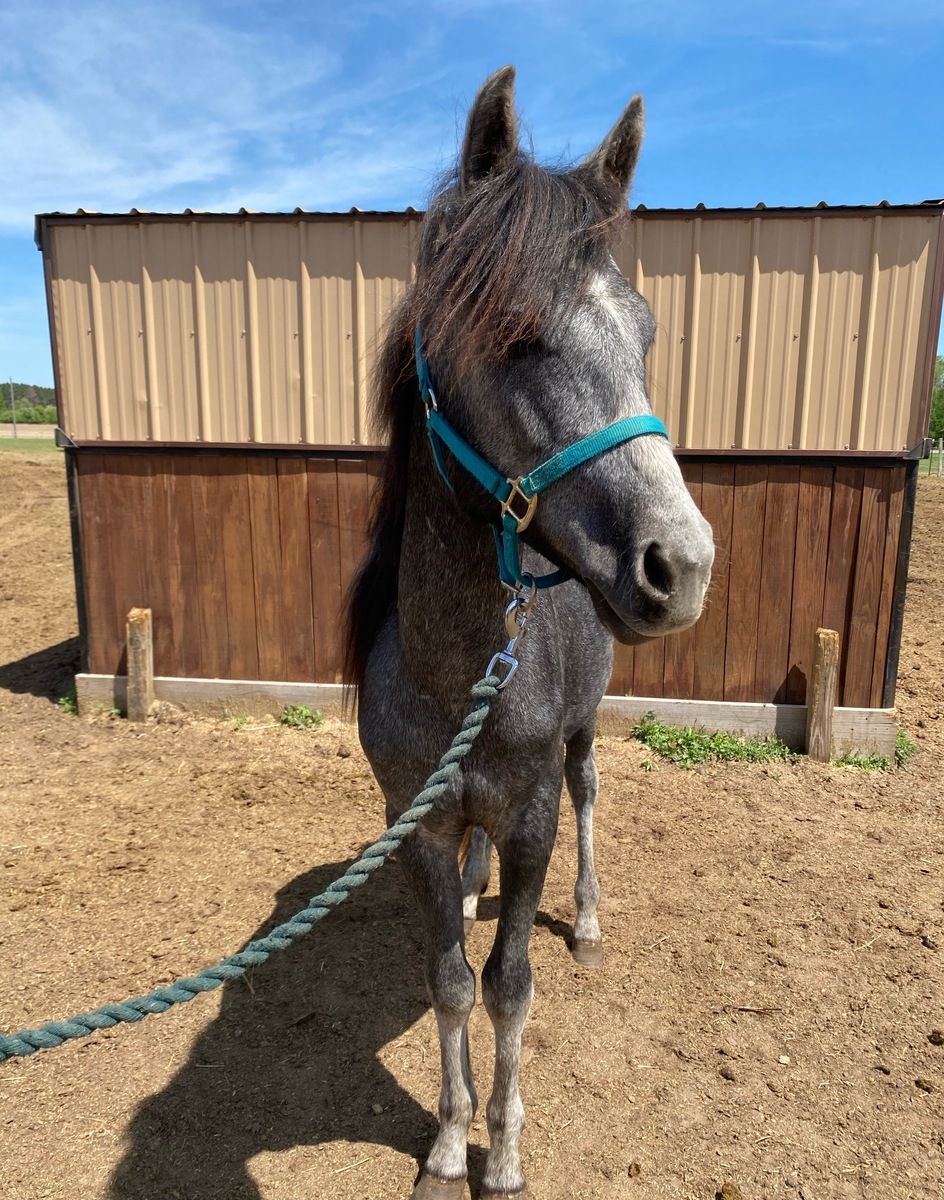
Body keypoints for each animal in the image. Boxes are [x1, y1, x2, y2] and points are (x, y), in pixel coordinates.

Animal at [346, 66, 714, 1200]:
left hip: (585, 738)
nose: (682, 565)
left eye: (645, 336)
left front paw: (502, 1151)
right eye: (510, 331)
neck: (457, 670)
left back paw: (586, 923)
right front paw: (445, 1141)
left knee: (595, 797)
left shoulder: (533, 816)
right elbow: (450, 981)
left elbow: (510, 985)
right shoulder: (418, 818)